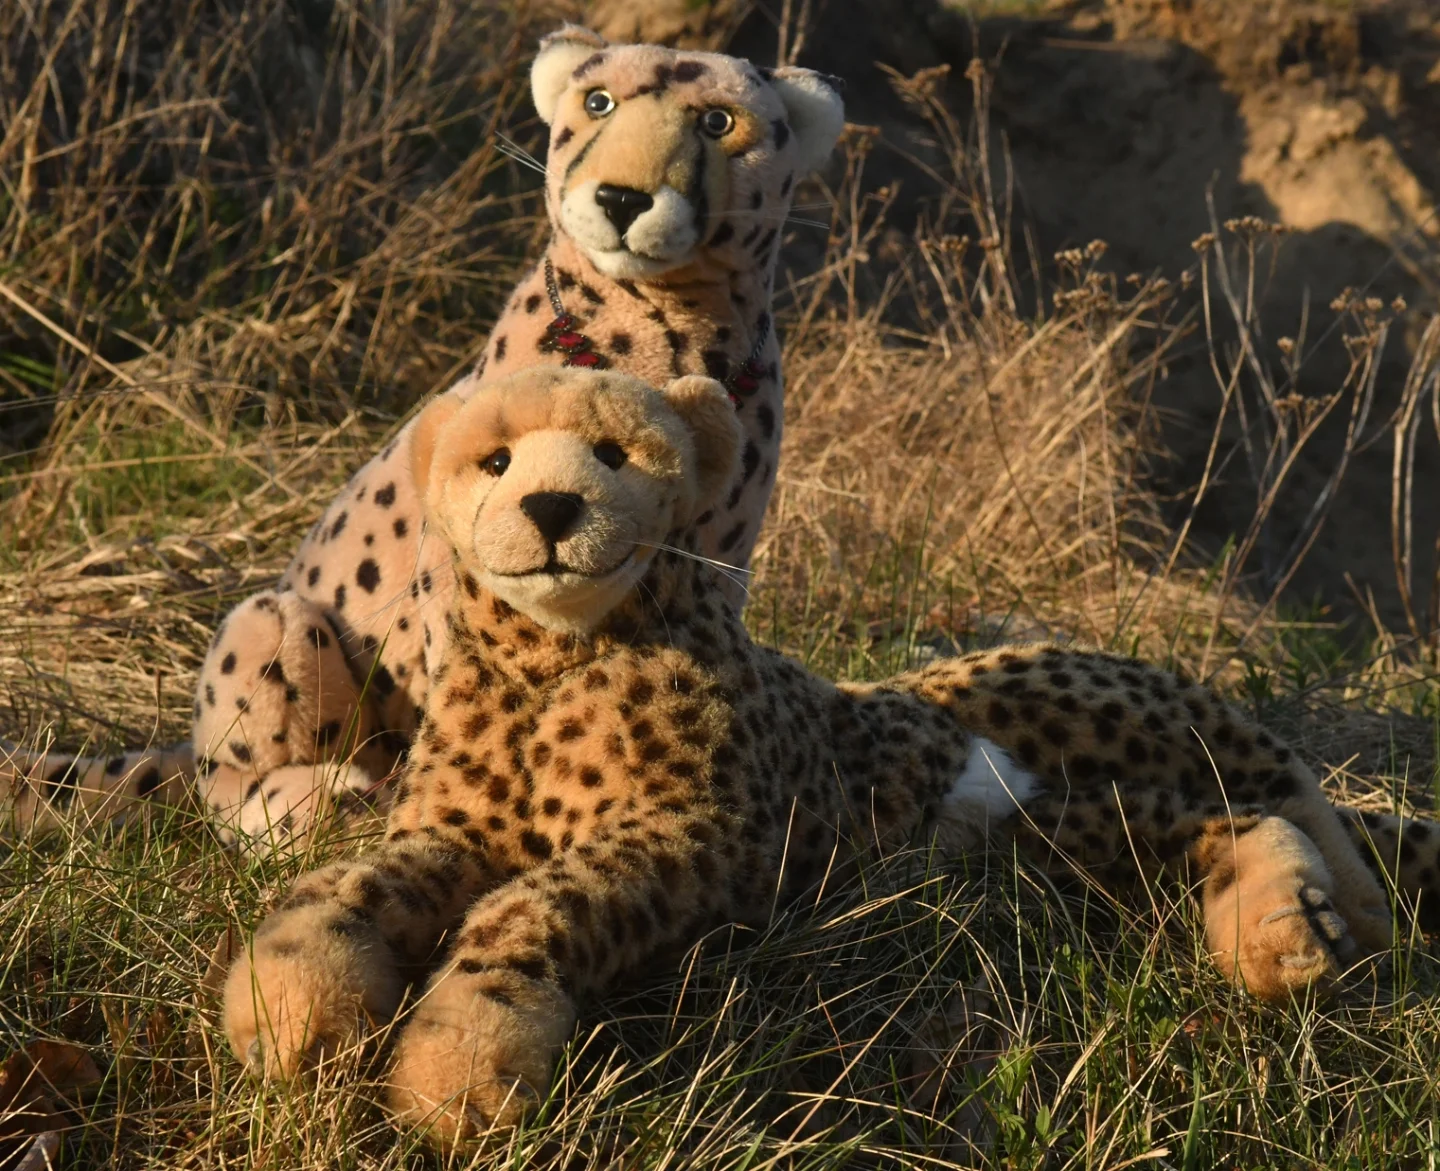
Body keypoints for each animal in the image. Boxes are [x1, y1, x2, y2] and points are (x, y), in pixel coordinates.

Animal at [0, 24, 845, 852]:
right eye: (598, 102)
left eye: (718, 121)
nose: (621, 197)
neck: (665, 323)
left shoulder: (711, 569)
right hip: (274, 621)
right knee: (230, 786)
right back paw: (320, 804)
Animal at [223, 364, 1440, 1150]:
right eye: (495, 459)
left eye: (616, 451)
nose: (553, 504)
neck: (551, 656)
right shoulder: (452, 830)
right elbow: (347, 881)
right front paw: (295, 998)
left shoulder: (706, 837)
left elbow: (534, 902)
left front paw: (461, 1060)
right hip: (1035, 842)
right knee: (1220, 824)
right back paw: (1282, 929)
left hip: (1107, 709)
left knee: (1289, 782)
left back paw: (1346, 920)